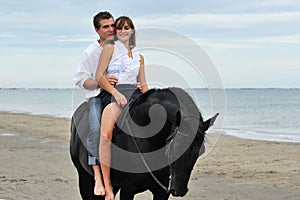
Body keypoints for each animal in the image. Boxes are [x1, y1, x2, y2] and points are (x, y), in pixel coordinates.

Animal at [70, 87, 218, 200]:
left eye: (201, 151)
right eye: (176, 146)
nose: (180, 190)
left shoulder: (161, 191)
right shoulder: (127, 190)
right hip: (84, 178)